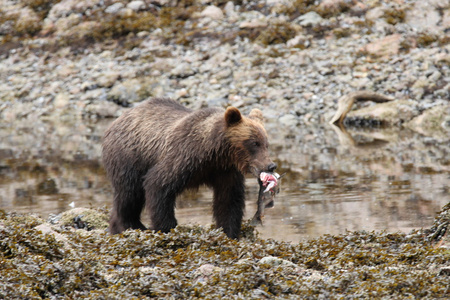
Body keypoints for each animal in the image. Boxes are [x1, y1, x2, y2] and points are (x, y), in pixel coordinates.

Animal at [102, 98, 276, 239]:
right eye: (254, 143)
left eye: (266, 143)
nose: (271, 165)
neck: (214, 153)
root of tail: (117, 121)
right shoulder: (183, 157)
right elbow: (158, 185)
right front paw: (167, 228)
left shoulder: (224, 172)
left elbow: (229, 201)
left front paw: (230, 232)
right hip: (129, 158)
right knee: (129, 195)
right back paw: (130, 226)